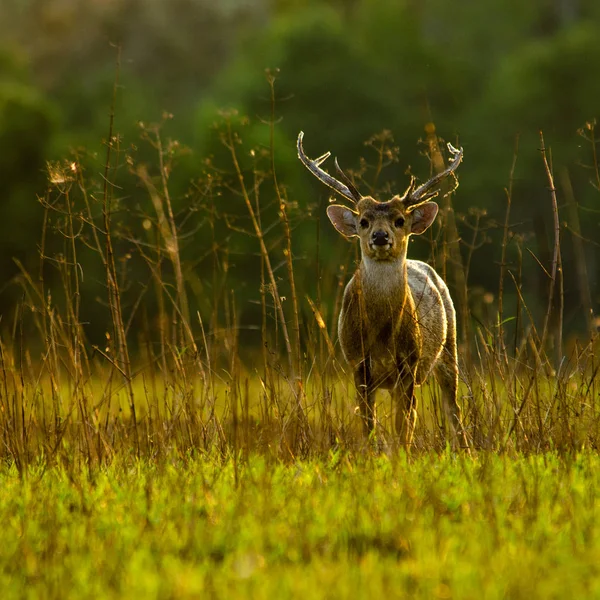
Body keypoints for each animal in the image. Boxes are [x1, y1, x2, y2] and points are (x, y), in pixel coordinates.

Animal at [298, 132, 466, 450]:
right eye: (363, 221)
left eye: (400, 220)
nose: (379, 236)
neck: (382, 335)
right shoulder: (358, 363)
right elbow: (368, 424)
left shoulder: (409, 362)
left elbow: (404, 426)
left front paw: (401, 455)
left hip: (449, 347)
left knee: (452, 411)